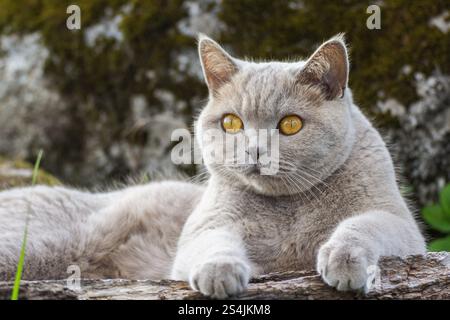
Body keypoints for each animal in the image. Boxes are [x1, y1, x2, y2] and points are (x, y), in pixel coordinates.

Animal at [0, 33, 426, 298]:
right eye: (231, 123)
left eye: (290, 124)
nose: (255, 151)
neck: (289, 212)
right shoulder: (205, 227)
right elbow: (213, 241)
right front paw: (220, 272)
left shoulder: (401, 225)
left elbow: (364, 223)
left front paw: (343, 259)